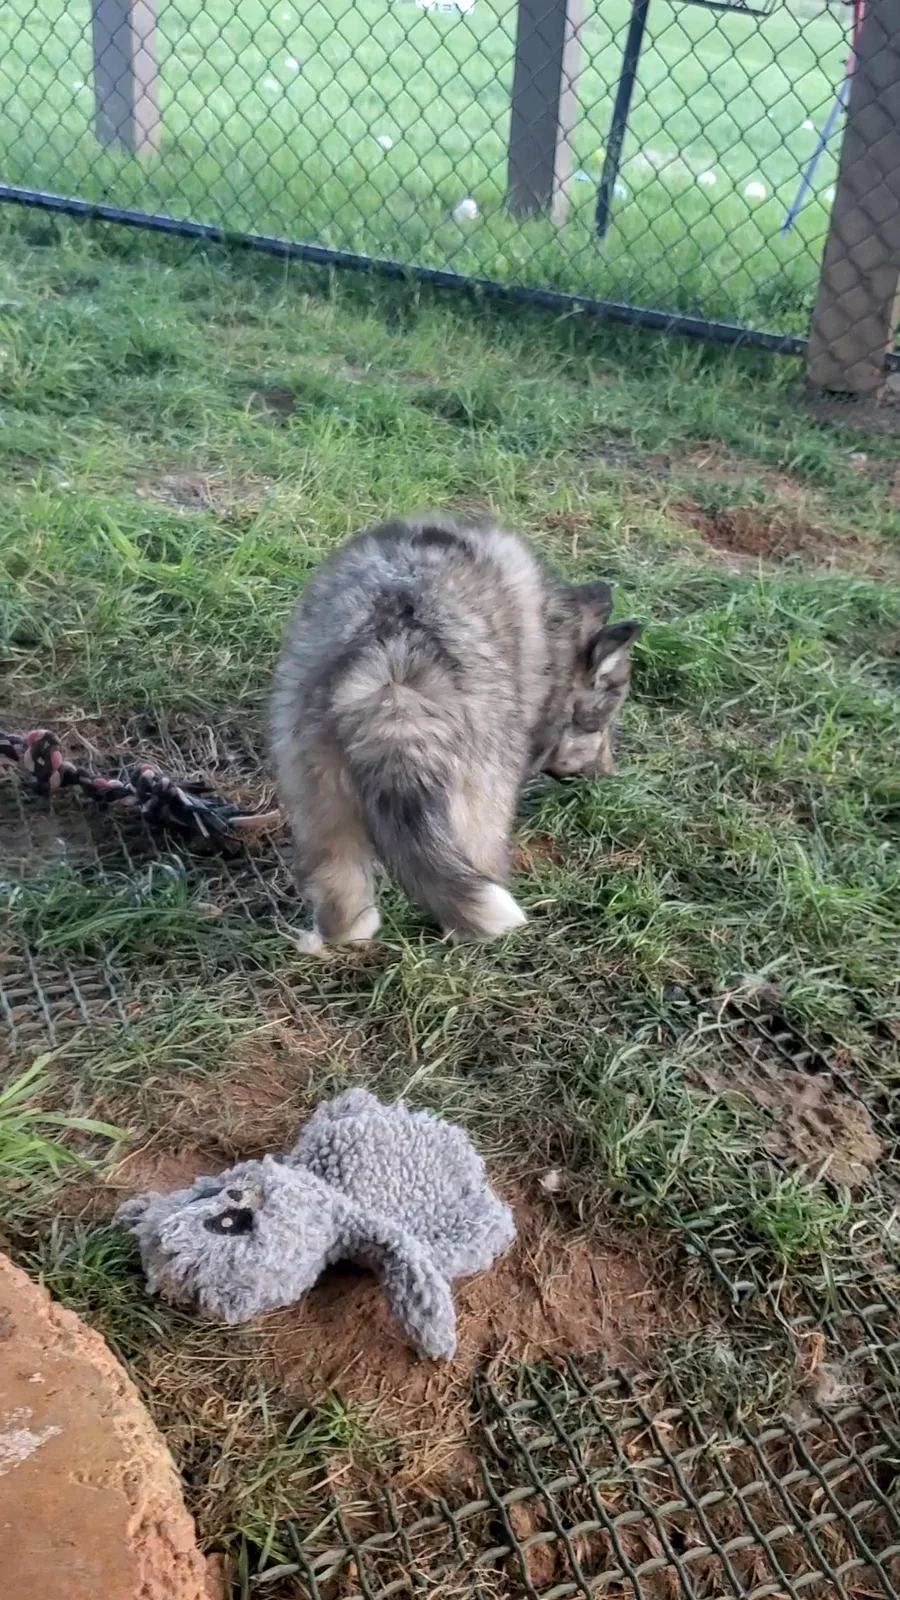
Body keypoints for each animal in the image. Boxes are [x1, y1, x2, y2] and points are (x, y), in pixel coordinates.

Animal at [271, 513, 641, 949]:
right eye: (601, 725)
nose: (608, 774)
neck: (557, 632)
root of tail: (395, 672)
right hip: (481, 803)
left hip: (317, 795)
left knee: (342, 897)